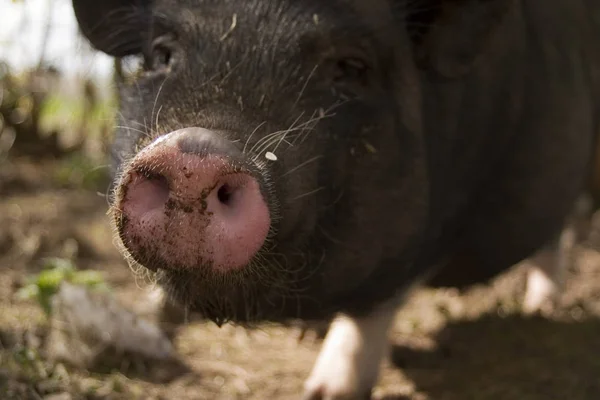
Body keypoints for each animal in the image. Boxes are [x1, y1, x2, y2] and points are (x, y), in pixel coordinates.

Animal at [71, 0, 600, 396]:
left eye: (351, 66)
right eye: (162, 55)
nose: (196, 152)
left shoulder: (427, 229)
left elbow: (370, 311)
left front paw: (324, 392)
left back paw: (543, 309)